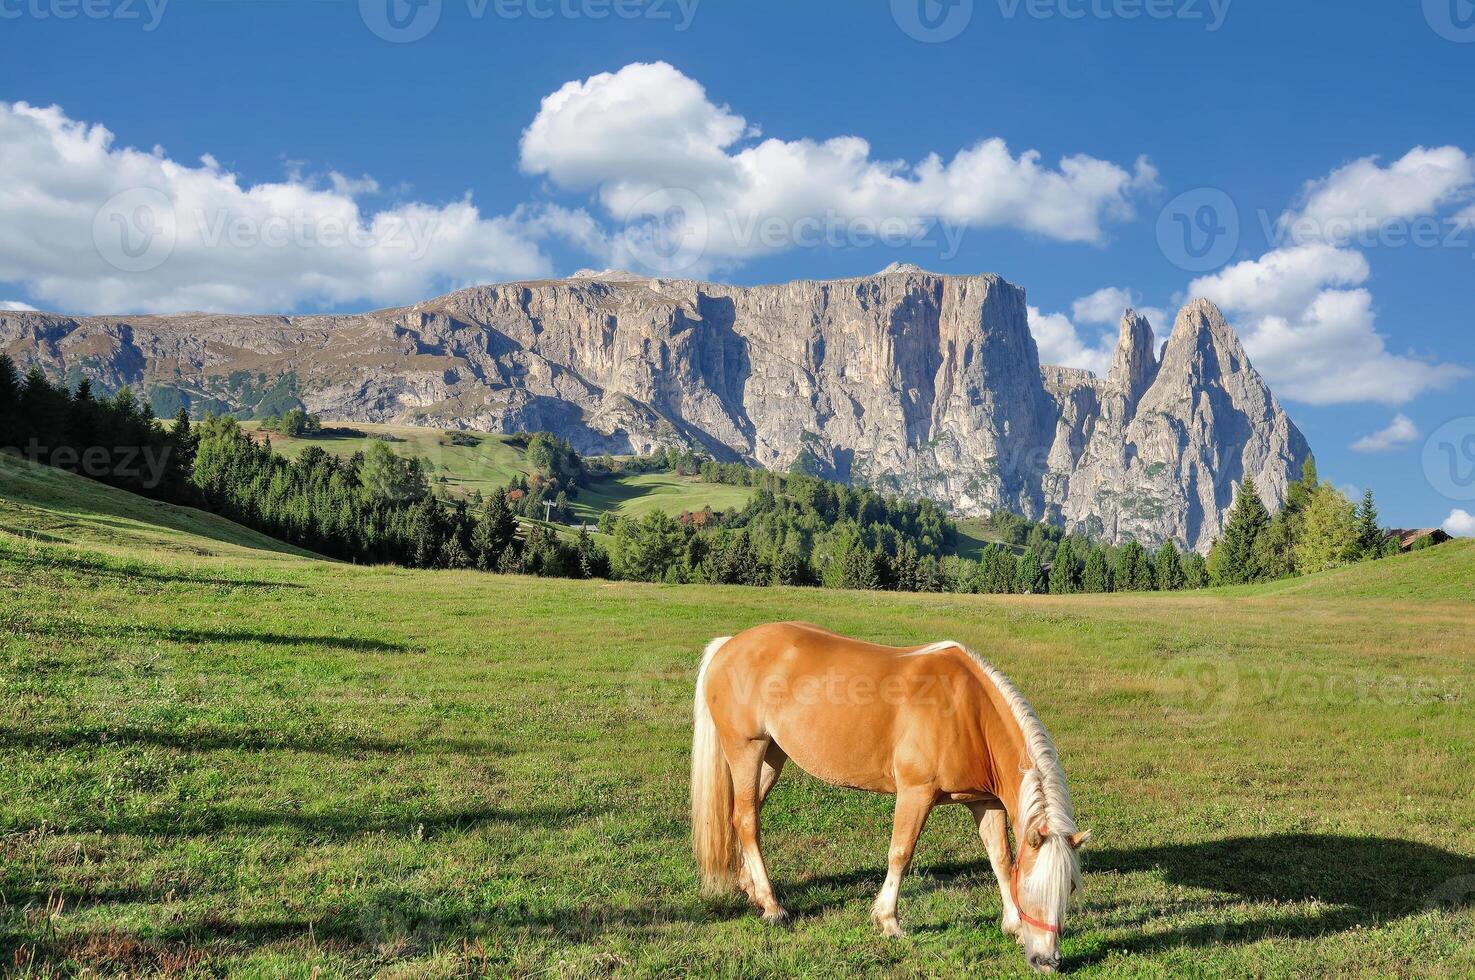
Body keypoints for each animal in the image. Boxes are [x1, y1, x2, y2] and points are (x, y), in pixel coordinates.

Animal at [687, 622, 1085, 968]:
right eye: (1031, 888)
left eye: (1068, 889)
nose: (1047, 961)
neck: (968, 710)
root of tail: (728, 645)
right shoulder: (916, 793)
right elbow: (901, 853)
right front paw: (889, 921)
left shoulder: (983, 801)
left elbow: (1000, 859)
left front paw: (1013, 924)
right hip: (746, 750)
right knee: (746, 820)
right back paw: (772, 906)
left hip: (771, 756)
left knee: (744, 813)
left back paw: (752, 889)